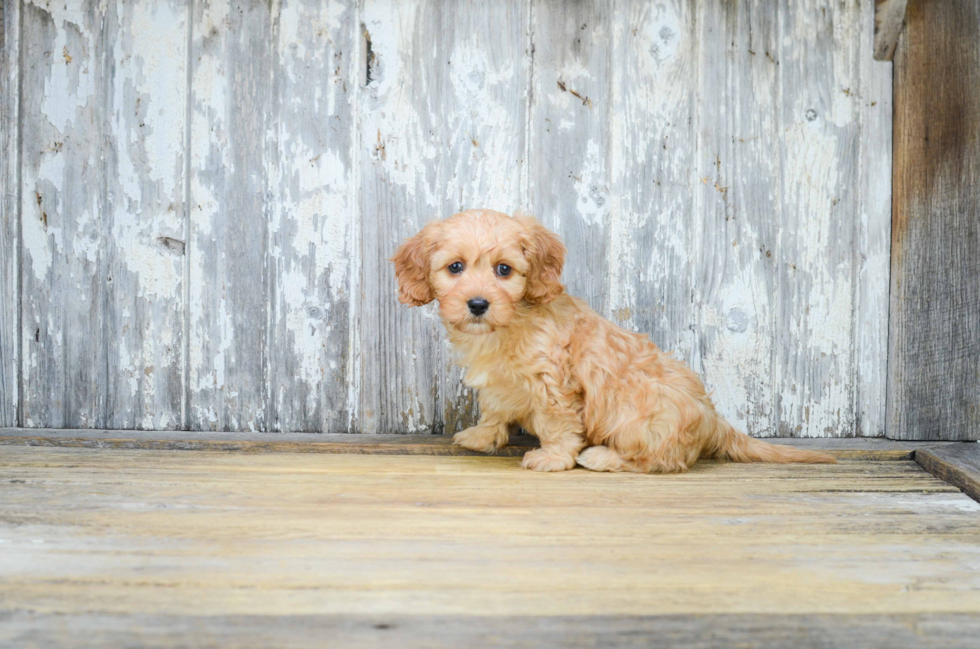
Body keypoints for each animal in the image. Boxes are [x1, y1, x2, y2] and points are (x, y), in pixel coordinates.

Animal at [390, 210, 836, 474]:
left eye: (504, 270)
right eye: (455, 268)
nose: (478, 304)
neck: (509, 324)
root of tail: (715, 421)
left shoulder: (554, 386)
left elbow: (557, 424)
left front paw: (553, 458)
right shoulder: (500, 384)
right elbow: (495, 409)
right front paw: (482, 437)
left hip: (637, 414)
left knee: (659, 460)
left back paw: (601, 456)